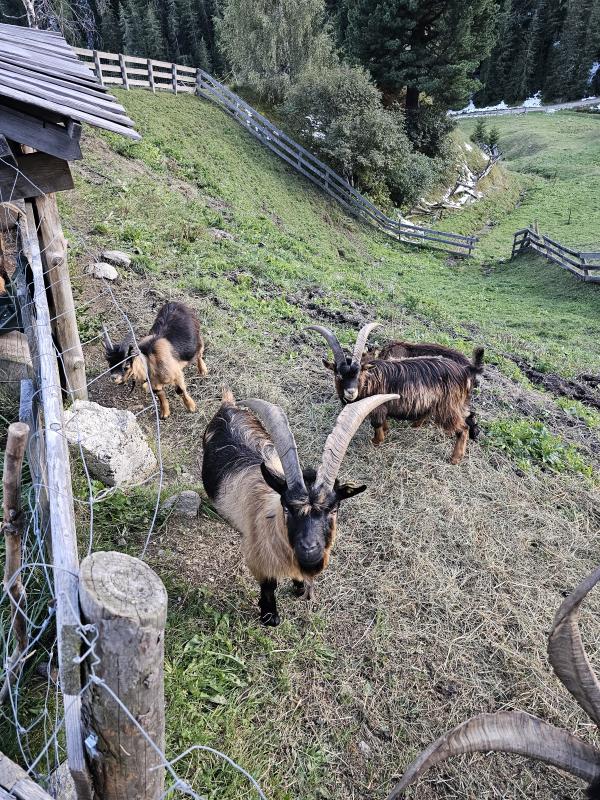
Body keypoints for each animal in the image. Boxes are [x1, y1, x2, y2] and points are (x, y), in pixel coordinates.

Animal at [202, 390, 394, 628]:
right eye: (286, 508)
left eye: (334, 509)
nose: (309, 550)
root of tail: (228, 405)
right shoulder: (258, 560)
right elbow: (269, 586)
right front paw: (269, 616)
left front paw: (300, 588)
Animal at [308, 324, 486, 462]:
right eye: (338, 375)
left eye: (359, 374)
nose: (351, 392)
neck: (371, 380)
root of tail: (465, 370)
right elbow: (384, 422)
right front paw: (385, 431)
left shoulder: (377, 408)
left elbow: (377, 424)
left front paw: (377, 441)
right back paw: (416, 425)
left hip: (448, 406)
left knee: (462, 427)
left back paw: (455, 458)